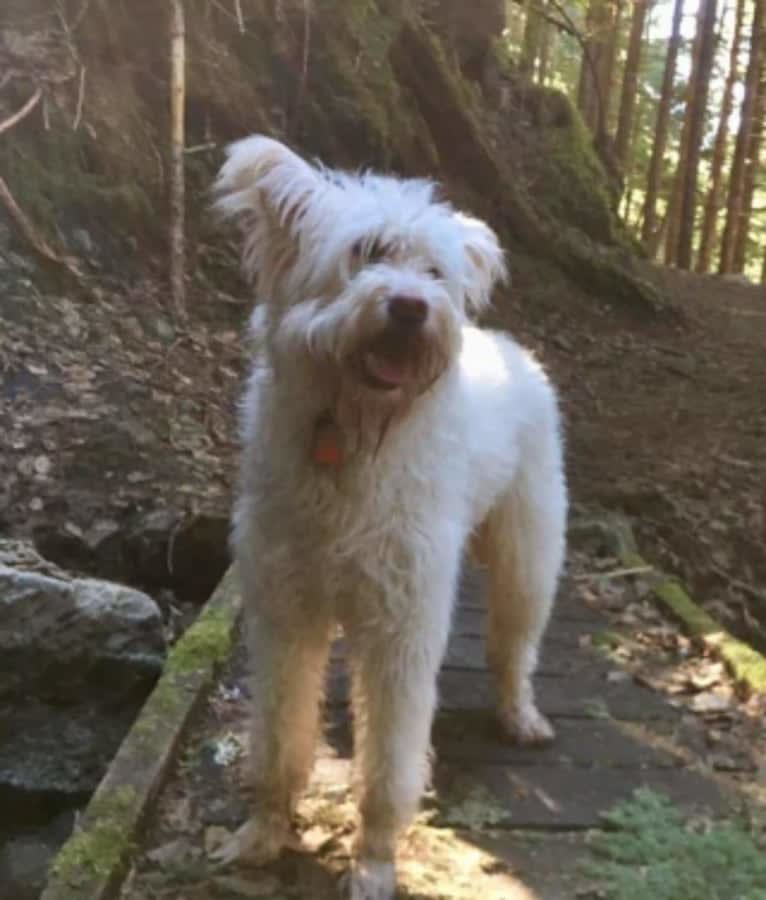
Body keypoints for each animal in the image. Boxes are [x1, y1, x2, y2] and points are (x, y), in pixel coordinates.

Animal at [213, 135, 568, 900]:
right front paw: (262, 831)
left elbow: (389, 766)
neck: (349, 435)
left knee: (514, 645)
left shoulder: (401, 628)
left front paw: (373, 862)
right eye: (364, 252)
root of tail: (508, 347)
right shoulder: (284, 613)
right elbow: (278, 736)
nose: (410, 306)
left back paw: (519, 713)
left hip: (529, 552)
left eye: (433, 270)